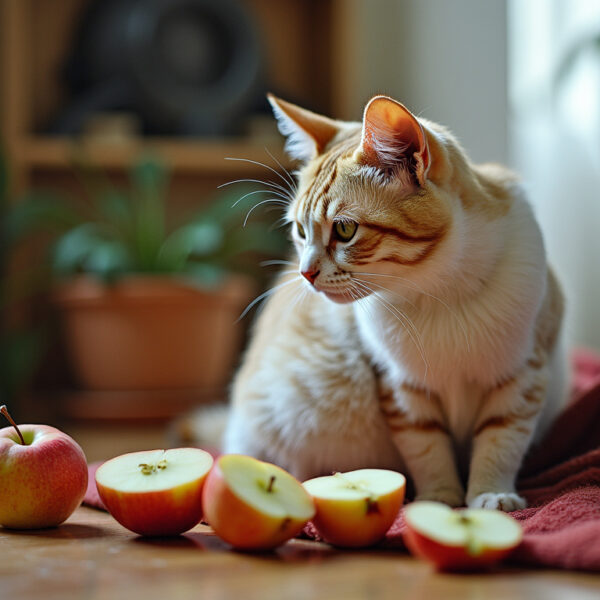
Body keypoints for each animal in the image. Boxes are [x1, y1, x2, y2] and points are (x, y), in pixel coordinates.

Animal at [197, 94, 568, 510]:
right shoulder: (400, 388)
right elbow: (427, 449)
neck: (442, 292)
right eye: (300, 231)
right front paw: (439, 498)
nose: (306, 274)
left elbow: (502, 440)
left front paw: (491, 492)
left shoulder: (523, 375)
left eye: (345, 229)